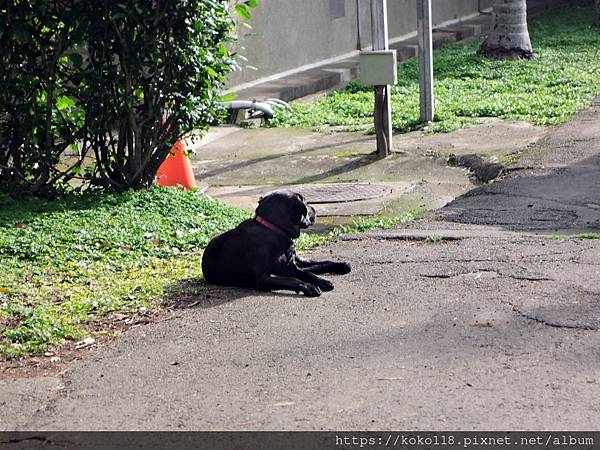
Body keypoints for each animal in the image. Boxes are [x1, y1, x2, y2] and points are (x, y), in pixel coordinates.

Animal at [203, 190, 352, 296]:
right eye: (306, 203)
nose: (316, 209)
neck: (273, 229)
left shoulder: (291, 268)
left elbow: (308, 274)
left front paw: (321, 281)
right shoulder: (263, 278)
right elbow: (294, 279)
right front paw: (309, 286)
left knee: (315, 265)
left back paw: (341, 266)